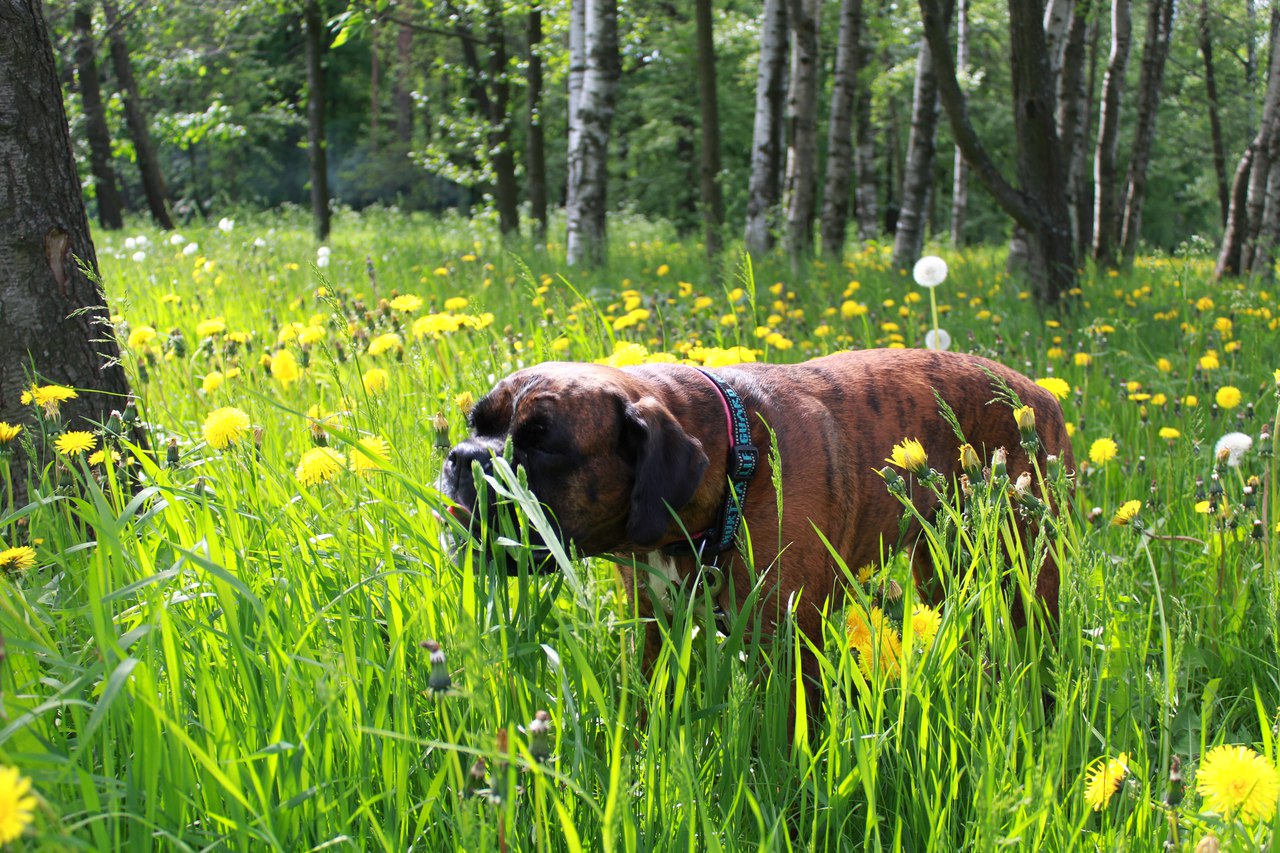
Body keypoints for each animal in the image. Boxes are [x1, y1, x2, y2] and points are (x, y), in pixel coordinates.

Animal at [440, 349, 1072, 694]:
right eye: (476, 424)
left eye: (544, 445)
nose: (462, 458)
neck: (732, 459)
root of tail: (1039, 394)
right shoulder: (656, 627)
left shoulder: (788, 646)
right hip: (937, 565)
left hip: (1029, 574)